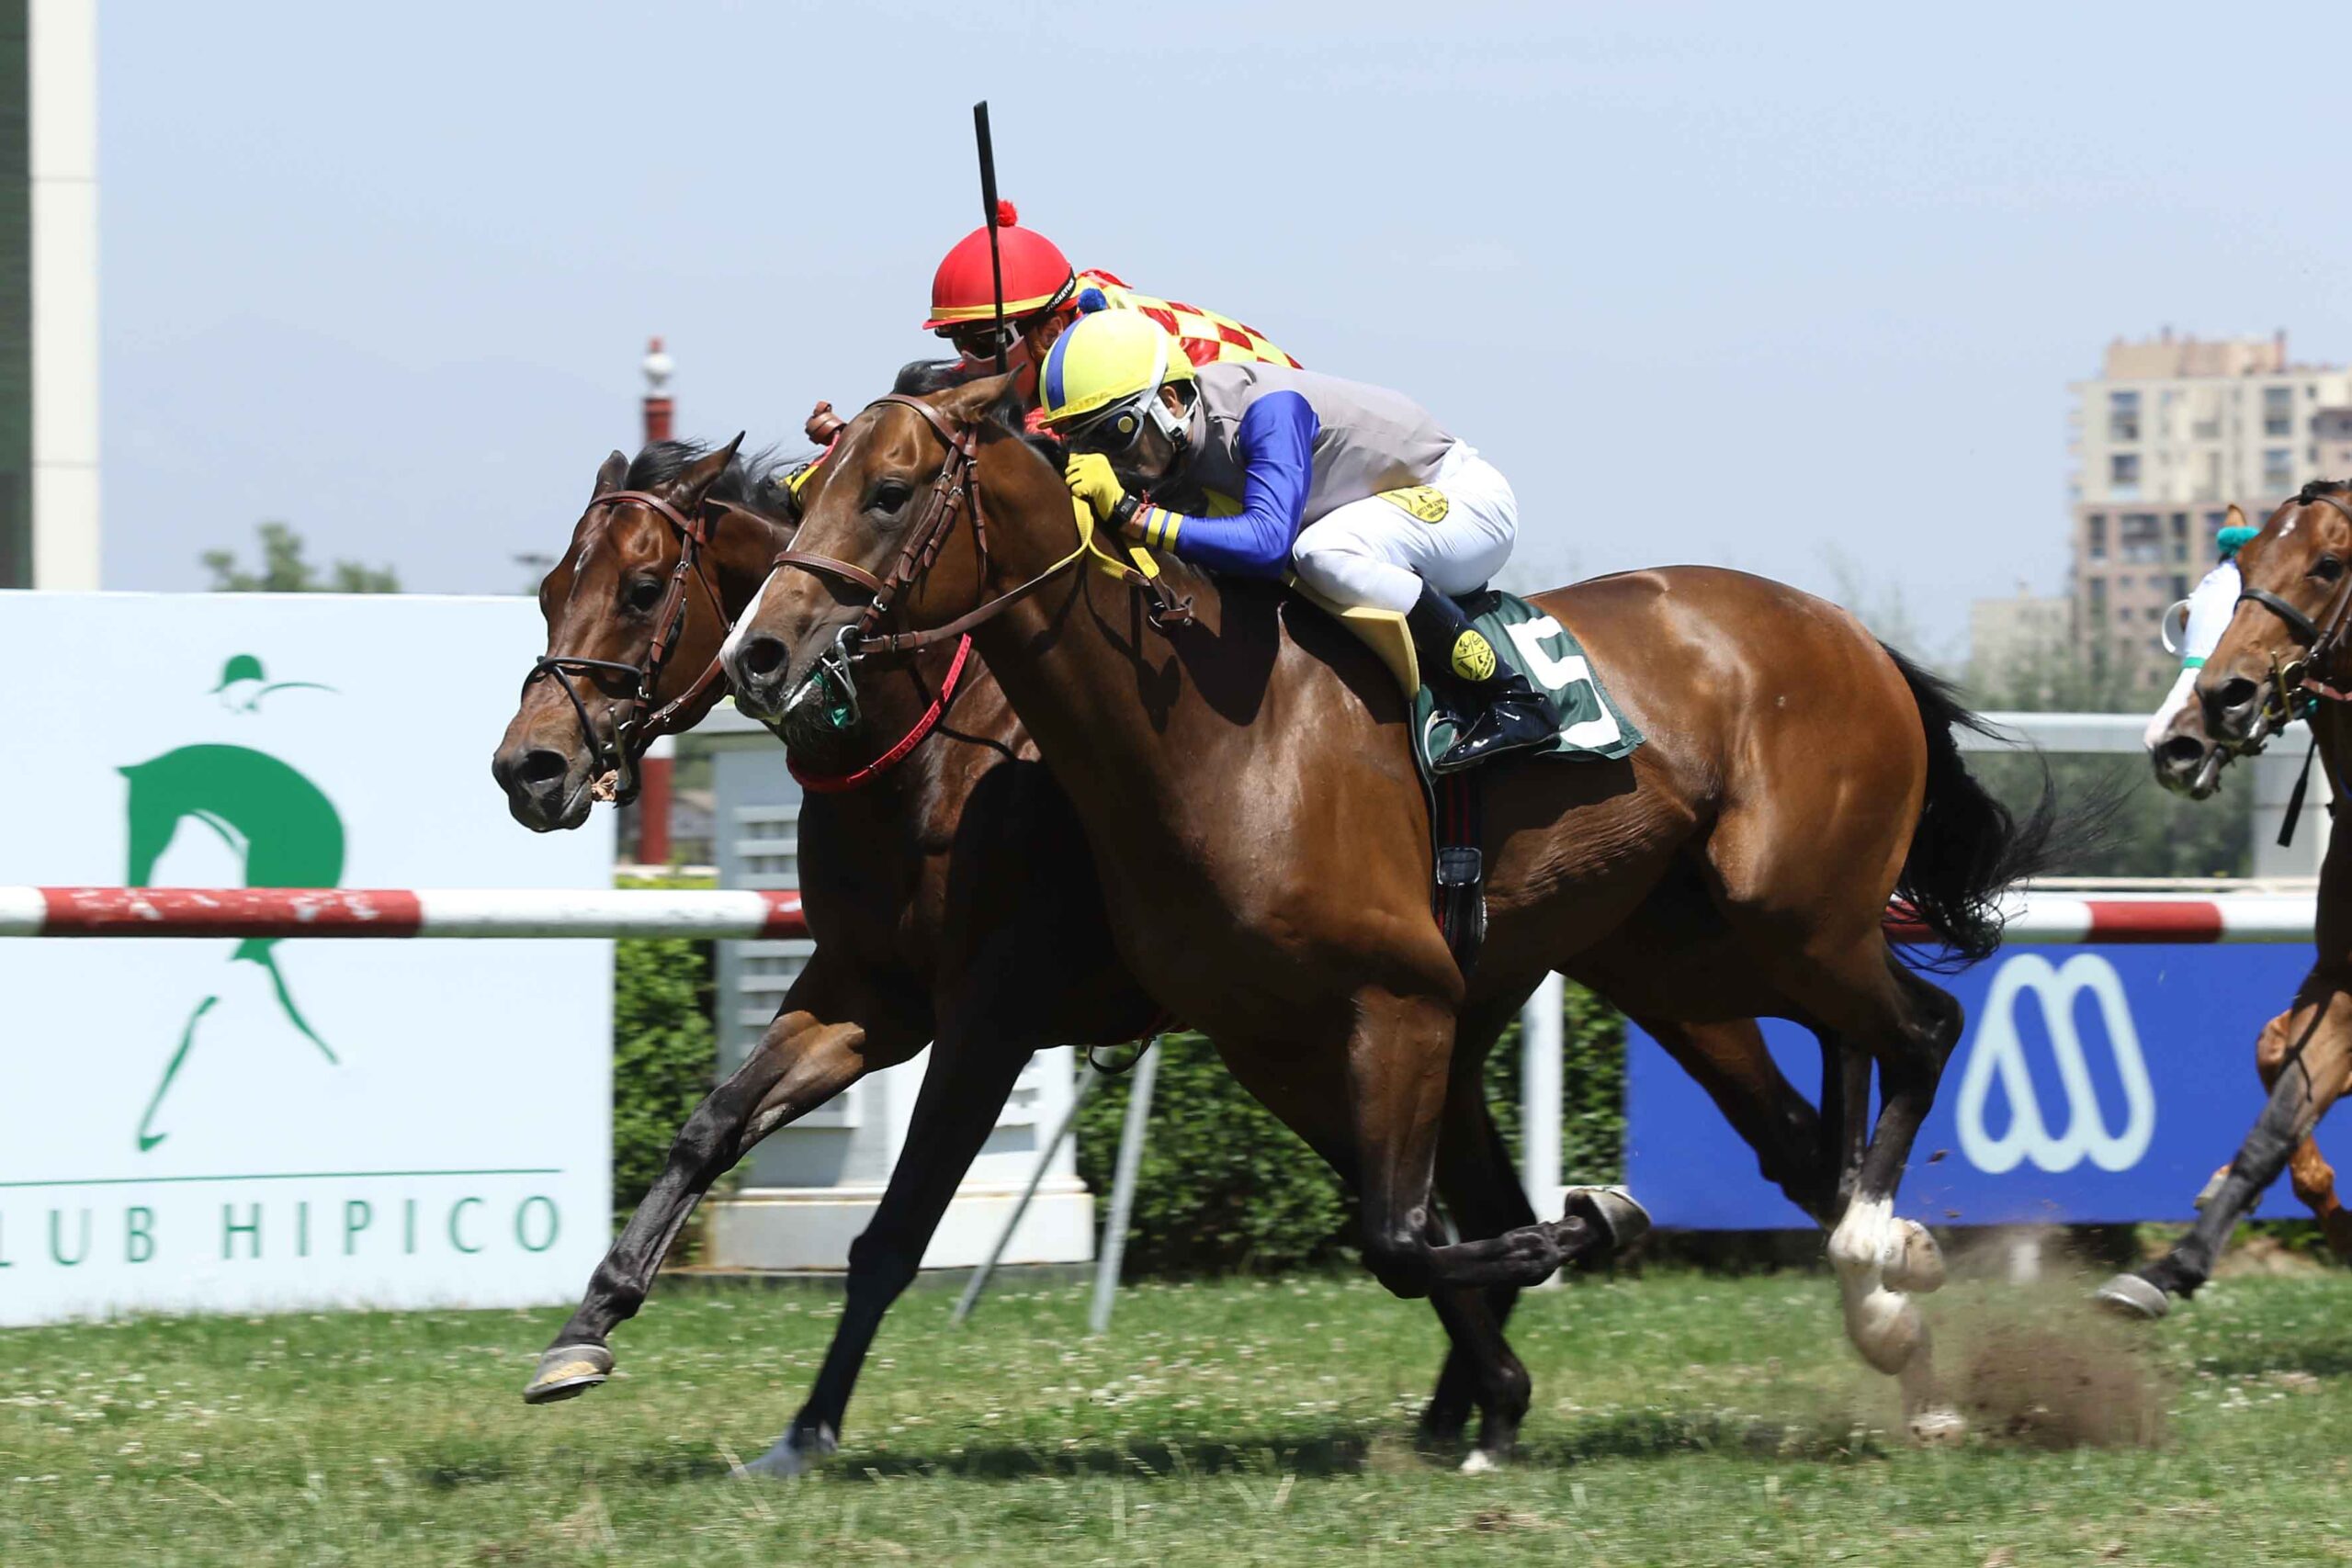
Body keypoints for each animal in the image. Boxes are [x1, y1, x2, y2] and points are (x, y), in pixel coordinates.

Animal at [494, 432, 1913, 1470]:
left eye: (640, 587)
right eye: (551, 585)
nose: (530, 767)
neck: (942, 750)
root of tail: (1841, 634)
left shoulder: (991, 1012)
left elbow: (893, 1232)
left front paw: (806, 1430)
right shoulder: (867, 995)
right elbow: (711, 1125)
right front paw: (586, 1330)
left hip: (1722, 952)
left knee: (1819, 1102)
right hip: (1589, 976)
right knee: (1584, 1180)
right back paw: (1484, 1397)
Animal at [2102, 481, 2352, 1317]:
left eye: (2330, 563)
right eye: (2243, 570)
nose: (2197, 723)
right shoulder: (2342, 979)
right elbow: (2276, 1088)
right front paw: (2170, 1264)